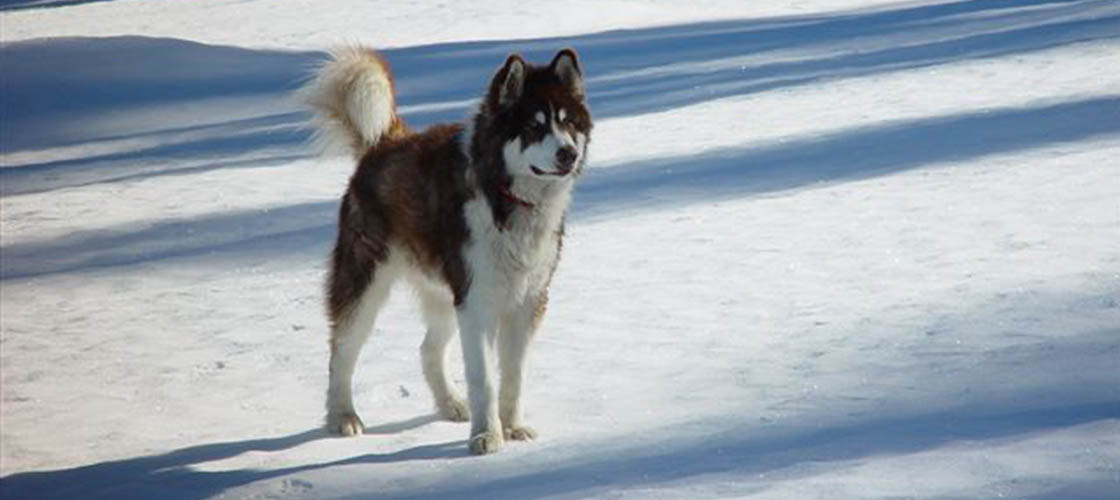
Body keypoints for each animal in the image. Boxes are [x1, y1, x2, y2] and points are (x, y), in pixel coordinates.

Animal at [302, 45, 591, 452]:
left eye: (568, 124)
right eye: (534, 127)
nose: (568, 154)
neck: (506, 197)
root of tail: (386, 141)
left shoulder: (528, 299)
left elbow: (514, 374)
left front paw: (513, 426)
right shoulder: (476, 299)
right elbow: (483, 377)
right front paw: (487, 436)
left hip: (445, 291)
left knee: (427, 349)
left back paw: (451, 403)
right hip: (366, 282)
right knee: (341, 350)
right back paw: (342, 416)